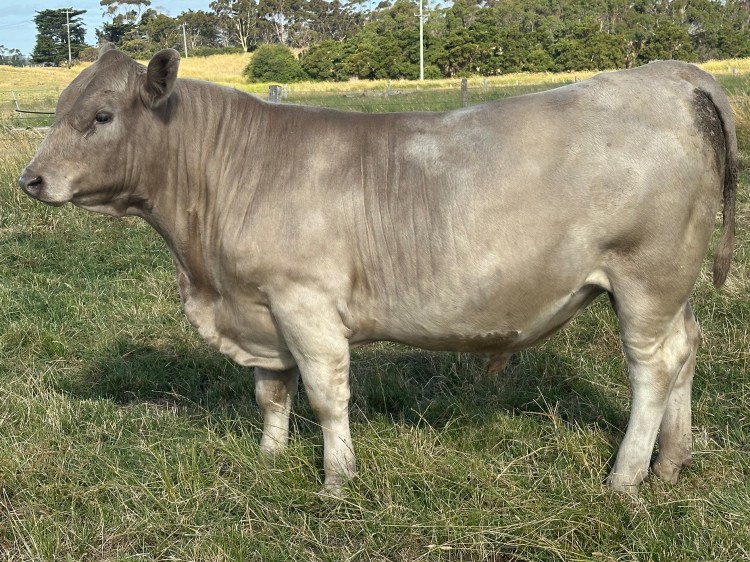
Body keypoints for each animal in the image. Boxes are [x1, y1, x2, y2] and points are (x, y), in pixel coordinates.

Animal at [19, 45, 737, 496]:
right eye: (56, 111)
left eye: (101, 115)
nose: (30, 180)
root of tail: (670, 74)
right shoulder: (259, 309)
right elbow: (271, 393)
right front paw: (270, 459)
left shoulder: (304, 303)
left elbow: (324, 395)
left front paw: (337, 481)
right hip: (670, 288)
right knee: (686, 350)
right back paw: (671, 464)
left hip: (646, 277)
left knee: (652, 370)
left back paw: (624, 480)